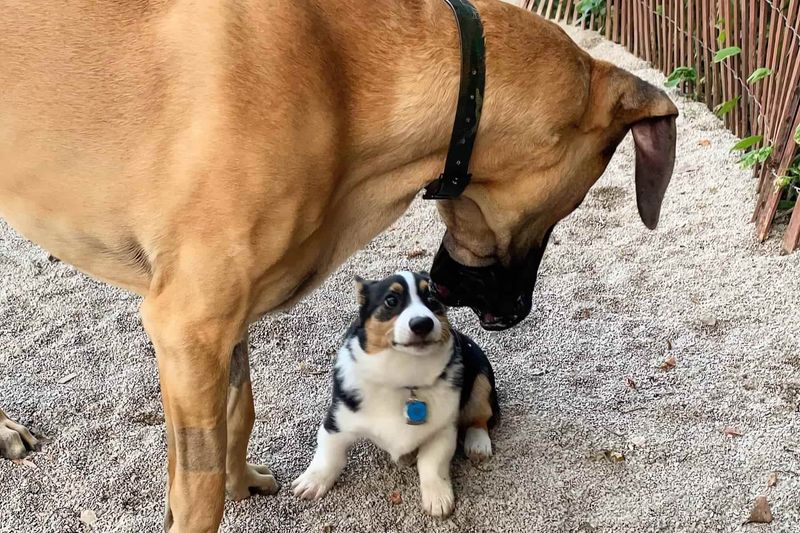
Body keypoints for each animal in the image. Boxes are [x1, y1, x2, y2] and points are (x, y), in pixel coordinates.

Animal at [290, 270, 496, 516]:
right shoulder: (336, 422)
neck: (404, 377)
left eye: (432, 298)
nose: (422, 323)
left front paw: (438, 497)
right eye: (391, 301)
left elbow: (432, 464)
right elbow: (329, 454)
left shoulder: (443, 431)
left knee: (481, 415)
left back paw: (478, 443)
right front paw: (312, 482)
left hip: (482, 375)